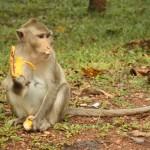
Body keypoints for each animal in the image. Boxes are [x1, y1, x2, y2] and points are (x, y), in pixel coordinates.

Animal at [1, 18, 150, 131]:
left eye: (47, 36)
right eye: (40, 36)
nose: (49, 45)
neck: (34, 55)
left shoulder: (51, 57)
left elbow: (54, 87)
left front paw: (37, 120)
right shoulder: (16, 56)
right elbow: (9, 83)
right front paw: (18, 83)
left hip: (51, 111)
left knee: (63, 88)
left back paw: (47, 121)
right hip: (28, 110)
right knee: (8, 88)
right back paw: (21, 118)